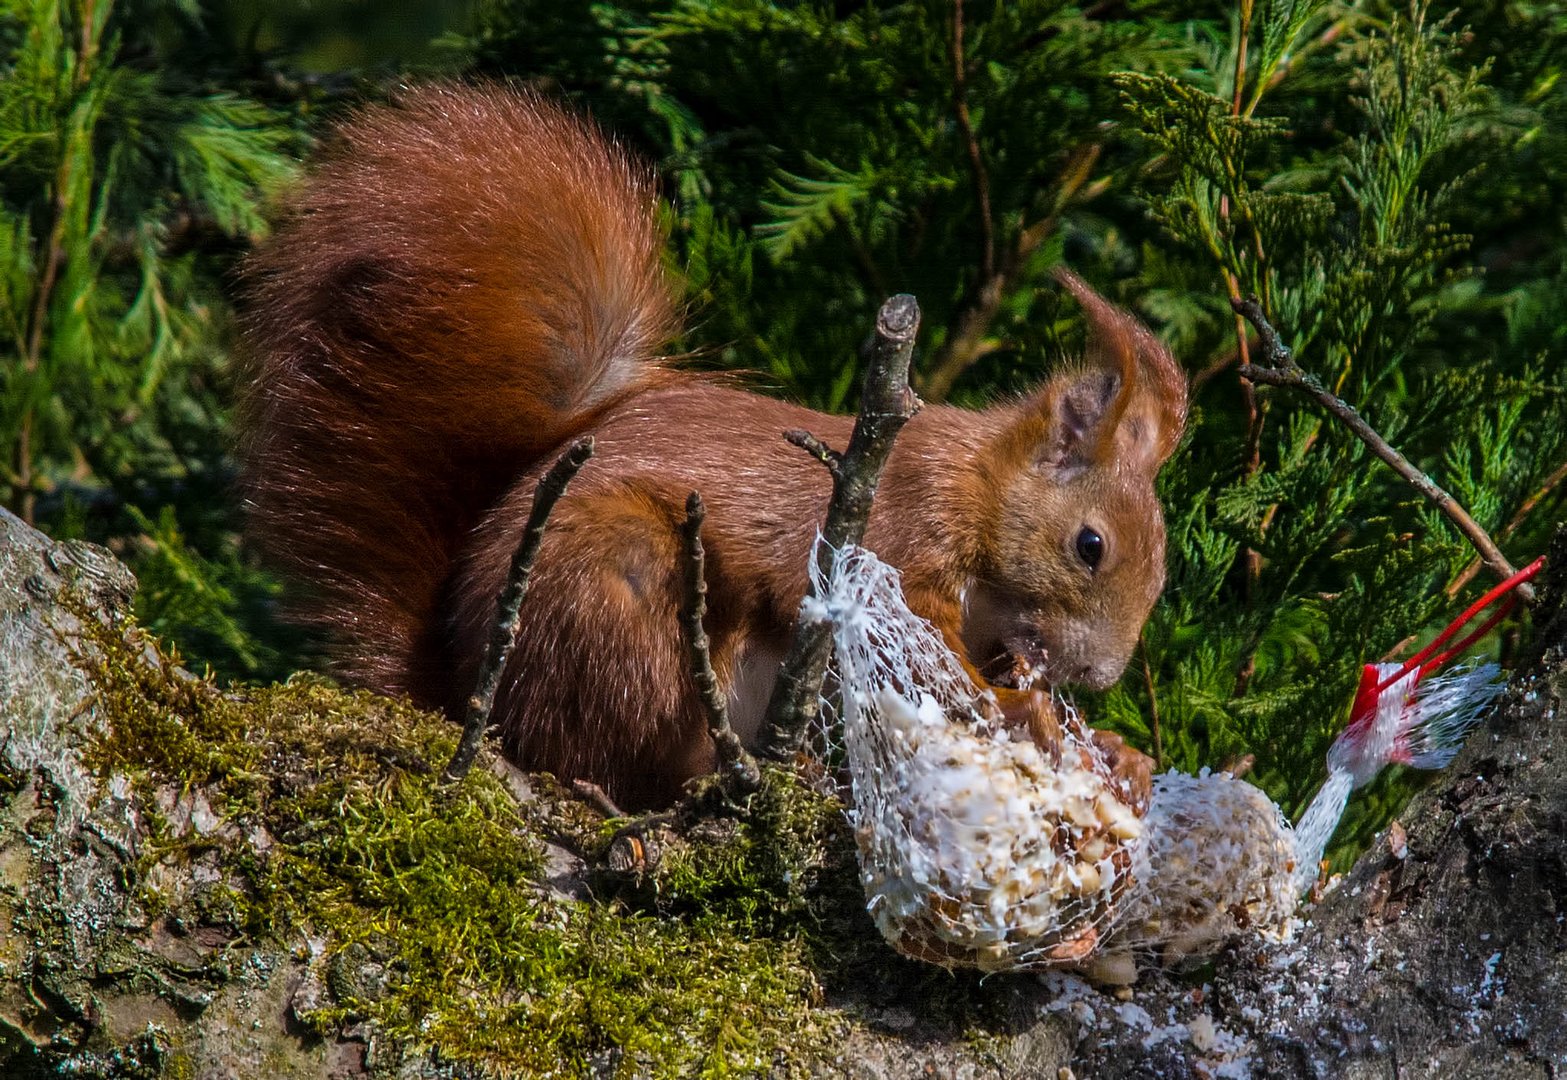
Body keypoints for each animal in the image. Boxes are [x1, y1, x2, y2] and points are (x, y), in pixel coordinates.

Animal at [238, 86, 1184, 808]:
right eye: (1089, 546)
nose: (1100, 675)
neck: (980, 489)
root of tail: (469, 690)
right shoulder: (898, 533)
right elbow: (926, 658)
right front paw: (1026, 715)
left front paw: (1115, 749)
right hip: (619, 591)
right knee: (607, 755)